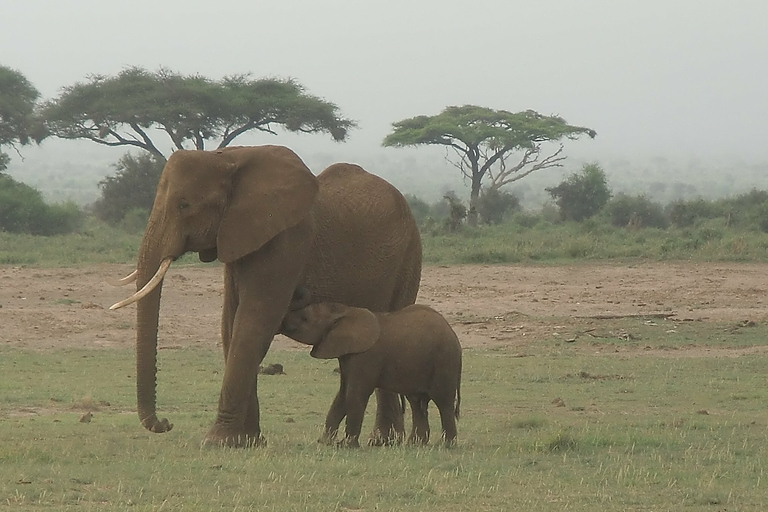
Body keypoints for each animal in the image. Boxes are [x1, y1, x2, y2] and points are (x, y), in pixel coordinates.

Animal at [109, 145, 420, 448]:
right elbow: (231, 325)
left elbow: (253, 324)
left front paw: (217, 442)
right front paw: (247, 441)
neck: (229, 157)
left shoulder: (286, 241)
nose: (165, 424)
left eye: (184, 205)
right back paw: (386, 439)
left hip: (408, 255)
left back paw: (384, 440)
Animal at [282, 302, 462, 446]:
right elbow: (342, 394)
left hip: (444, 361)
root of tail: (454, 335)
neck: (344, 311)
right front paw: (325, 442)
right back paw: (415, 444)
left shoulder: (366, 356)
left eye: (305, 318)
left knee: (443, 402)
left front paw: (347, 445)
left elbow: (355, 394)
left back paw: (446, 445)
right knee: (417, 402)